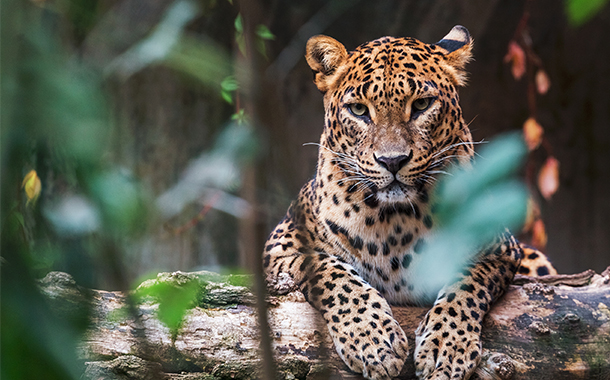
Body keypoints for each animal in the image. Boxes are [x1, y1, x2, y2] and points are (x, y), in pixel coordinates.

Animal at [264, 25, 552, 378]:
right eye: (358, 110)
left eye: (422, 105)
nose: (392, 161)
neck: (394, 221)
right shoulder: (282, 244)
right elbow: (333, 274)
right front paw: (373, 341)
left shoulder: (498, 247)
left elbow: (467, 284)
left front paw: (446, 349)